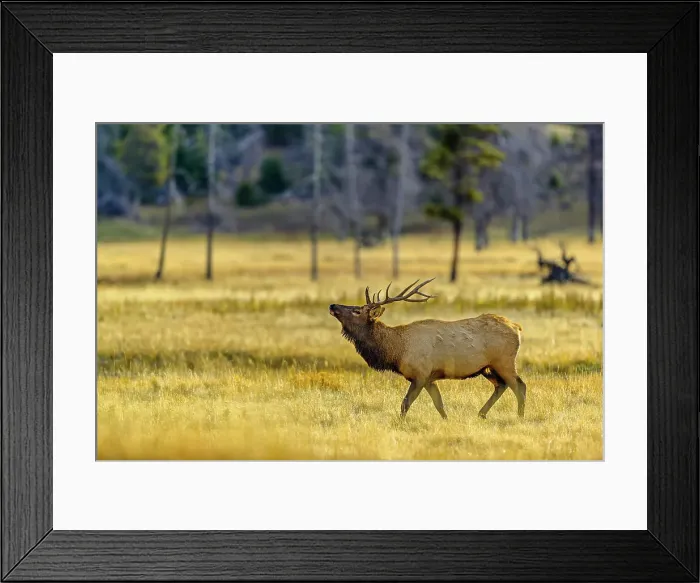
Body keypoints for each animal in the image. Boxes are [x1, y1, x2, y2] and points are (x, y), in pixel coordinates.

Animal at [329, 278, 527, 420]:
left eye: (357, 311)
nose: (332, 305)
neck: (396, 351)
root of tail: (517, 327)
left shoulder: (420, 374)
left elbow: (405, 403)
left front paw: (400, 423)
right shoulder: (429, 378)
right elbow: (439, 404)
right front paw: (447, 421)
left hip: (504, 361)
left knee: (519, 386)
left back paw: (519, 417)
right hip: (487, 367)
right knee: (501, 385)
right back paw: (481, 414)